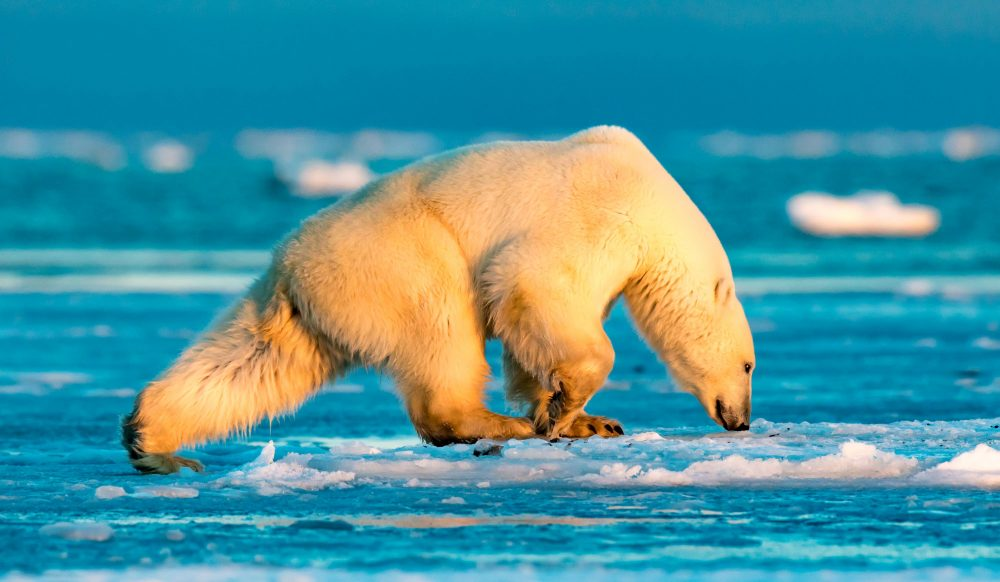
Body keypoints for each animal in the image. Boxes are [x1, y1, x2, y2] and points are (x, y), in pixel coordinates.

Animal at [122, 126, 756, 474]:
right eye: (750, 364)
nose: (742, 420)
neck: (656, 204)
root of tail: (292, 266)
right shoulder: (599, 217)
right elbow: (533, 285)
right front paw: (555, 413)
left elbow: (535, 337)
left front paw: (588, 421)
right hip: (402, 258)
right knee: (443, 330)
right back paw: (496, 425)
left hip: (304, 314)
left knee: (252, 363)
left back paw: (153, 442)